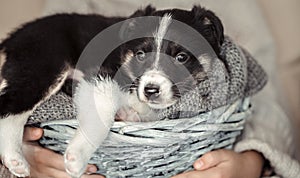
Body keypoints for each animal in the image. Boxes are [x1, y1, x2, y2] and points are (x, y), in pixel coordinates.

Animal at [0, 4, 224, 177]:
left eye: (181, 57)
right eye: (141, 55)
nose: (150, 90)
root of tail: (15, 36)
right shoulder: (100, 77)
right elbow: (102, 116)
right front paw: (76, 156)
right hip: (45, 65)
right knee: (10, 108)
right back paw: (14, 158)